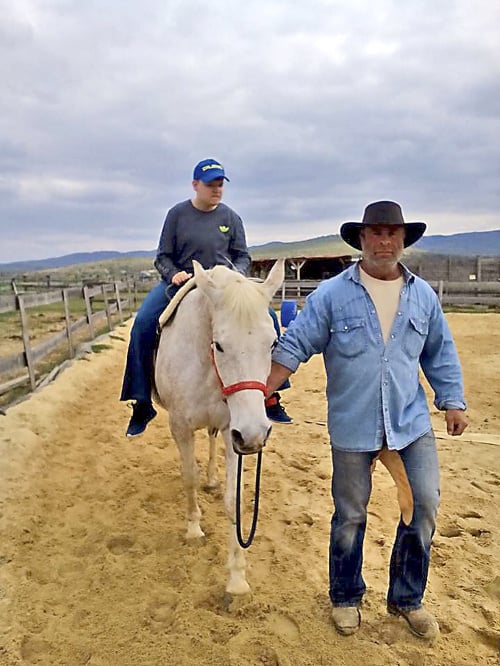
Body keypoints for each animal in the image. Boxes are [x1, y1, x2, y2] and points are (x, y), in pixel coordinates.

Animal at [152, 256, 286, 592]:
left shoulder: (232, 432)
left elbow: (232, 500)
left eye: (272, 343)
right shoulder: (180, 427)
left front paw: (237, 577)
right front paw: (194, 530)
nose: (255, 436)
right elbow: (189, 477)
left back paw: (212, 478)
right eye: (220, 345)